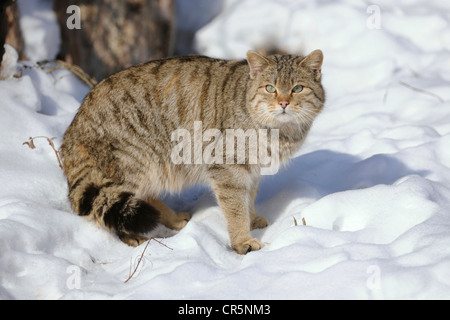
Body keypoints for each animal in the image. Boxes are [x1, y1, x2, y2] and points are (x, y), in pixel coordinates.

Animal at [61, 50, 326, 255]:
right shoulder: (227, 167)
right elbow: (235, 208)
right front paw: (242, 240)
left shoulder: (252, 168)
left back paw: (171, 218)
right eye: (270, 88)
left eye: (298, 88)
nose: (283, 103)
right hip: (134, 161)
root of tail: (70, 133)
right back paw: (132, 236)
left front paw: (253, 218)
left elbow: (249, 196)